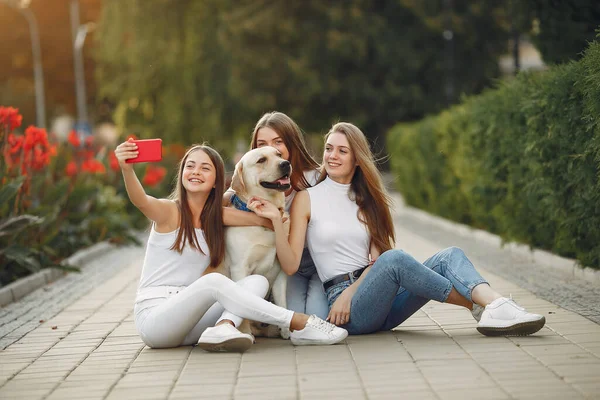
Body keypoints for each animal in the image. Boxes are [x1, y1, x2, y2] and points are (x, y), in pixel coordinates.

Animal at [216, 147, 290, 338]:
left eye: (279, 154)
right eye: (261, 160)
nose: (286, 164)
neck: (265, 221)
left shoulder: (280, 271)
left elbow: (283, 303)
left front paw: (287, 331)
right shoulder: (240, 268)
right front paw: (244, 332)